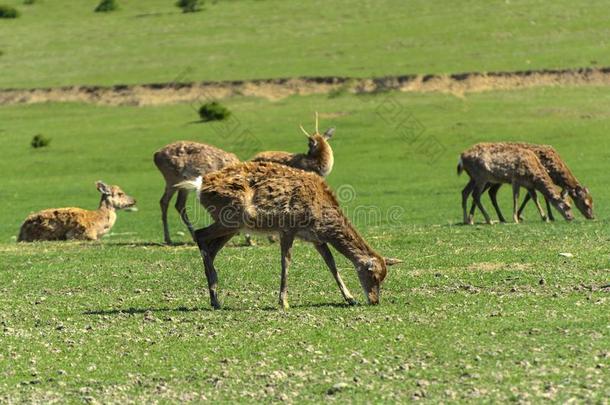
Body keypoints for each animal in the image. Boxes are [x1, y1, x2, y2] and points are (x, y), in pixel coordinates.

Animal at [176, 161, 400, 310]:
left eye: (384, 277)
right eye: (373, 275)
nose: (374, 300)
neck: (322, 215)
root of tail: (199, 185)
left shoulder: (316, 238)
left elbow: (332, 264)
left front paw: (350, 297)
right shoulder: (287, 228)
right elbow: (286, 262)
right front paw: (283, 302)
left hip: (233, 225)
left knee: (210, 246)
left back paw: (214, 295)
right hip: (234, 216)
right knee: (200, 234)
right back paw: (215, 296)